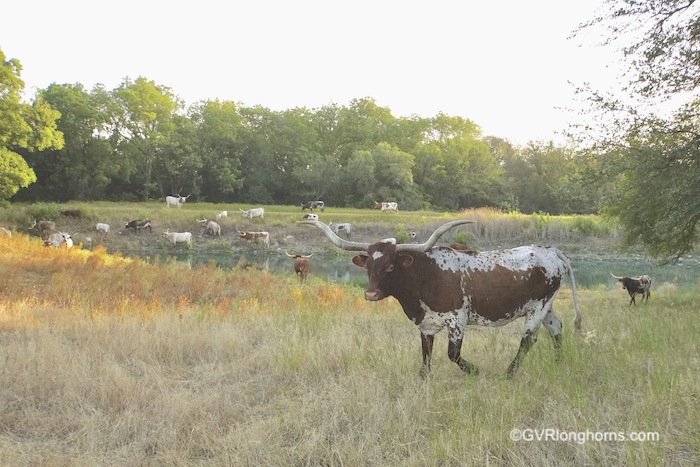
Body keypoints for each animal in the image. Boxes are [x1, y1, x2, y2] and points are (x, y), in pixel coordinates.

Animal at [300, 220, 580, 380]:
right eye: (368, 266)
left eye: (390, 267)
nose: (370, 294)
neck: (425, 276)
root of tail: (553, 251)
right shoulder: (426, 324)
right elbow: (426, 353)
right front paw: (424, 378)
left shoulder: (457, 320)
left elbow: (452, 354)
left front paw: (476, 371)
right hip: (546, 307)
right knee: (556, 328)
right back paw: (559, 362)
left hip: (538, 307)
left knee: (528, 339)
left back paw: (509, 373)